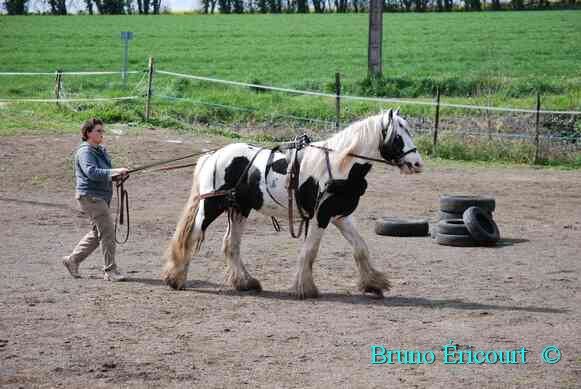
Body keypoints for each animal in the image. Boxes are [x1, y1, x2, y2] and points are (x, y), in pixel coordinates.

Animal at [161, 110, 424, 298]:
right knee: (193, 235)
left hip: (239, 208)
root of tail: (214, 155)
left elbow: (360, 248)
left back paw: (245, 282)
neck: (339, 165)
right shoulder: (321, 216)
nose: (417, 164)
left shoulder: (340, 215)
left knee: (231, 245)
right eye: (398, 137)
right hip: (212, 206)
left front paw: (373, 283)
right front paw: (305, 288)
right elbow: (310, 251)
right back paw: (177, 278)